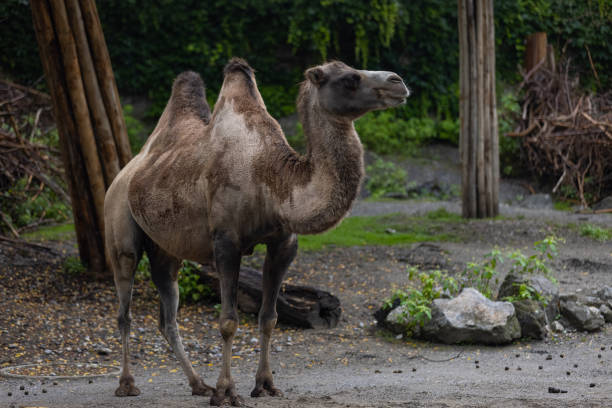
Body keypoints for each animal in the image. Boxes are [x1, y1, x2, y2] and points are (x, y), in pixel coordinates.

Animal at [104, 56, 412, 404]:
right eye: (350, 79)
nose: (398, 82)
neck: (269, 178)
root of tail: (126, 172)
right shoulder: (225, 241)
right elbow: (228, 321)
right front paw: (226, 392)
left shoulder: (283, 243)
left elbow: (269, 317)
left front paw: (264, 385)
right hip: (120, 229)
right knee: (124, 308)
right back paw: (128, 384)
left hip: (166, 250)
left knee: (167, 316)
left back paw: (198, 384)